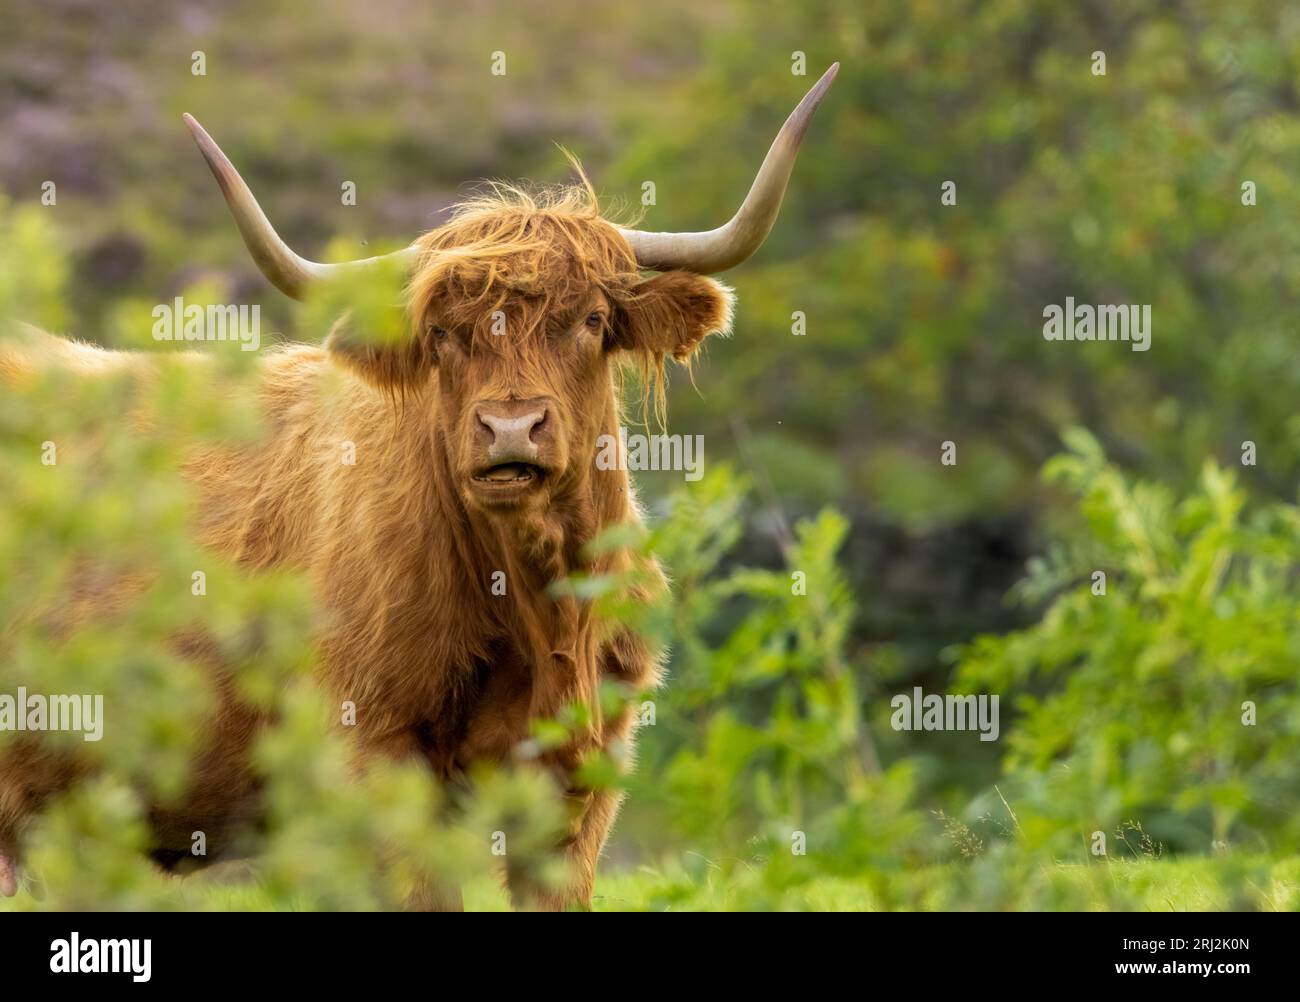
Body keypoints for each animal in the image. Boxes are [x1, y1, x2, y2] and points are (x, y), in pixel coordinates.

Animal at [0, 63, 838, 909]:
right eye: (441, 334)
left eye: (593, 320)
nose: (510, 429)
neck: (537, 606)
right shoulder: (376, 755)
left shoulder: (579, 788)